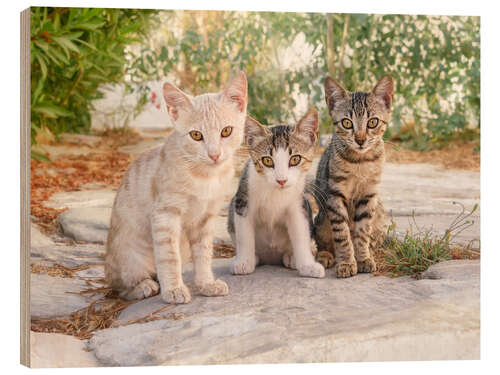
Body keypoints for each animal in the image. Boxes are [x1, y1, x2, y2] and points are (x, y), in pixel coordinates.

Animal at [104, 72, 249, 304]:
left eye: (226, 131)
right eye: (196, 135)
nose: (214, 154)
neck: (205, 177)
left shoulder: (206, 217)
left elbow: (204, 253)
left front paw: (206, 284)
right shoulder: (165, 214)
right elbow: (169, 255)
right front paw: (173, 289)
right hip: (128, 259)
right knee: (119, 286)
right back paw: (144, 286)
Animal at [229, 110, 326, 278]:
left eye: (295, 159)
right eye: (267, 161)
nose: (281, 180)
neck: (275, 192)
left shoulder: (298, 205)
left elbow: (301, 233)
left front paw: (308, 265)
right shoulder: (242, 200)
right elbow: (244, 236)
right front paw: (244, 262)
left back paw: (291, 257)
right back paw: (254, 257)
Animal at [314, 75, 392, 280]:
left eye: (372, 122)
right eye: (347, 123)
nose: (360, 140)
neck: (360, 162)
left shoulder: (369, 195)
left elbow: (362, 232)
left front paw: (363, 258)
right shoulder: (335, 196)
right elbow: (342, 235)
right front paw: (347, 263)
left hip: (381, 218)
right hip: (321, 218)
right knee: (324, 241)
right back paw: (325, 256)